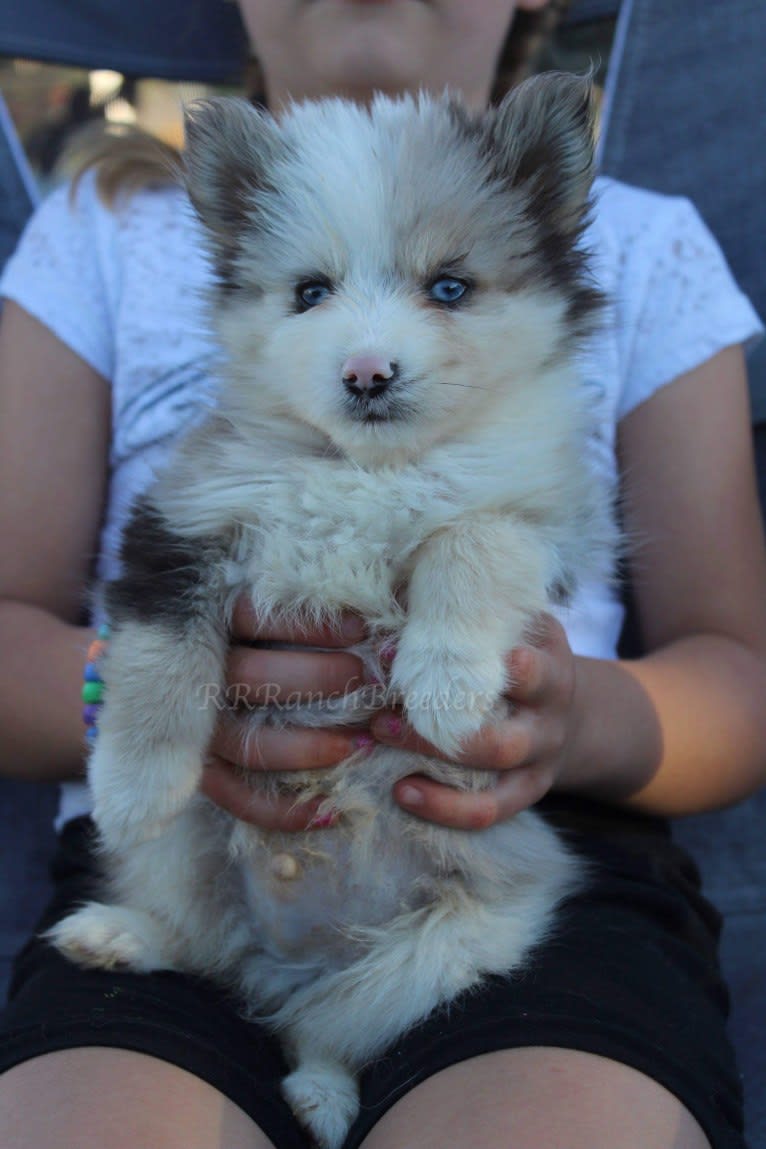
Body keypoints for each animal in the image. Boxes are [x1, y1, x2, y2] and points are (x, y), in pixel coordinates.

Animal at [52, 76, 615, 1144]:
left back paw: (320, 1088)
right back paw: (120, 933)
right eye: (310, 293)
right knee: (207, 947)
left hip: (459, 942)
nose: (365, 373)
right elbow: (160, 656)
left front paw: (444, 684)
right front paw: (132, 782)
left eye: (450, 287)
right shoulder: (184, 522)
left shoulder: (541, 522)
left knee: (328, 1019)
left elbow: (469, 541)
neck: (365, 469)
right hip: (188, 854)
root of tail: (290, 947)